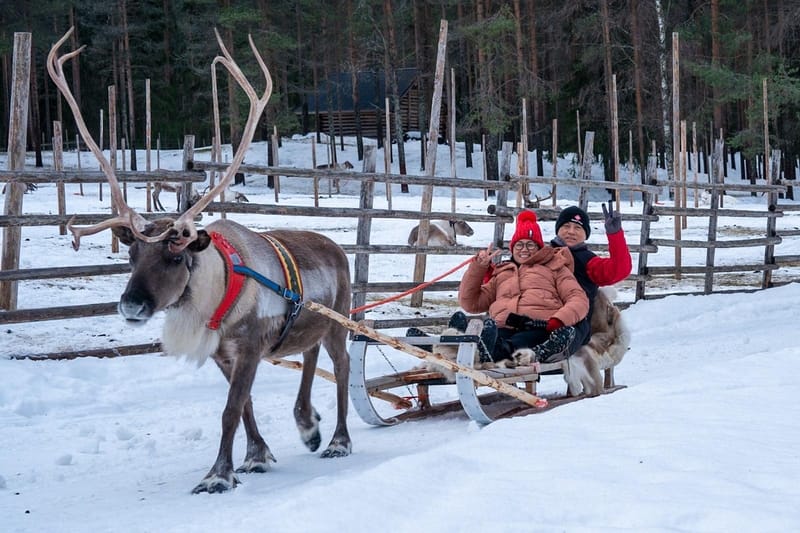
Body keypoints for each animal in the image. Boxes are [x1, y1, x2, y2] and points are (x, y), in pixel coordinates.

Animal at [48, 27, 353, 494]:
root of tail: (336, 248)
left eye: (175, 255)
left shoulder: (249, 348)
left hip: (340, 319)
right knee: (311, 354)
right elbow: (245, 407)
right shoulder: (221, 355)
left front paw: (218, 475)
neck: (218, 290)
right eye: (132, 253)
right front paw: (256, 456)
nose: (131, 305)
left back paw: (338, 440)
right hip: (310, 322)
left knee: (343, 367)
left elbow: (230, 410)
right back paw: (308, 425)